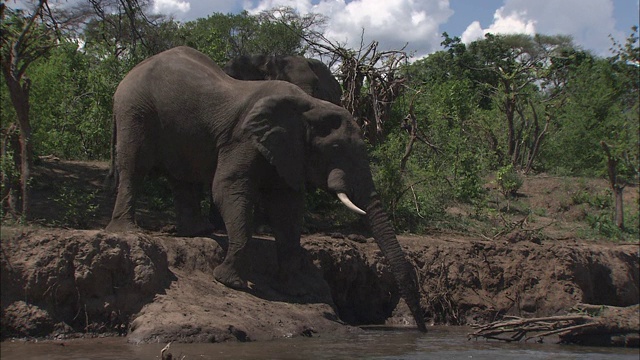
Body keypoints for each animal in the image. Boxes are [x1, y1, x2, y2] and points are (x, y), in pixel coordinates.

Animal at [104, 45, 424, 332]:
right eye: (335, 149)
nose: (420, 328)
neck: (306, 108)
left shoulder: (289, 150)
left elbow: (287, 208)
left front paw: (295, 291)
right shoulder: (244, 137)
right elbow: (227, 188)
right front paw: (229, 281)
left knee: (182, 177)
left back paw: (197, 231)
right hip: (134, 108)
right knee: (133, 166)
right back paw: (127, 230)